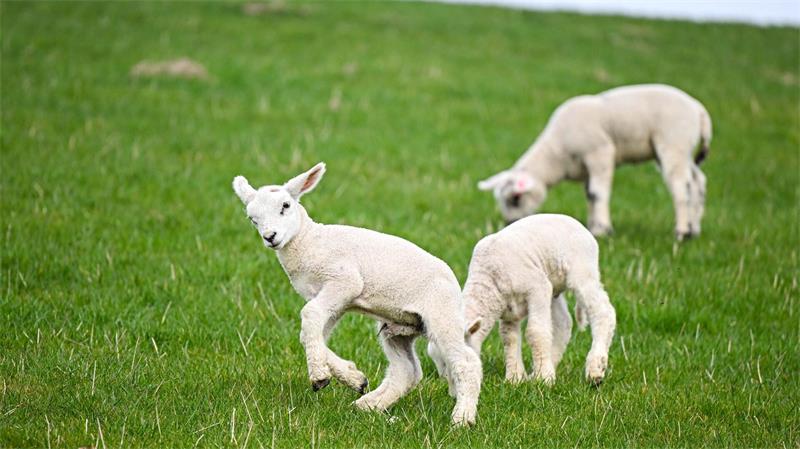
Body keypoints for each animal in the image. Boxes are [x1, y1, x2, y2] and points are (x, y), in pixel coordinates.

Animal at [231, 162, 482, 426]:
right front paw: (353, 378)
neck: (309, 242)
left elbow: (309, 314)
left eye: (286, 205)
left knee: (466, 362)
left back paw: (462, 418)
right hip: (398, 328)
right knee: (407, 371)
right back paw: (367, 405)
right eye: (252, 219)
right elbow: (309, 333)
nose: (270, 237)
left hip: (442, 314)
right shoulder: (333, 300)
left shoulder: (345, 281)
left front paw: (319, 376)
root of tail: (455, 285)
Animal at [427, 214, 616, 387]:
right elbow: (509, 339)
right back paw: (547, 366)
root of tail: (580, 225)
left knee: (603, 312)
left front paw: (543, 378)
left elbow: (535, 332)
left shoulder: (537, 288)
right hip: (553, 285)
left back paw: (595, 369)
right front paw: (515, 378)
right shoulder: (508, 310)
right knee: (564, 323)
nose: (446, 383)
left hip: (582, 272)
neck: (489, 280)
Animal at [478, 84, 712, 241]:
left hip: (674, 143)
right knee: (697, 181)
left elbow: (598, 193)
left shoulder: (600, 153)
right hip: (683, 150)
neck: (555, 155)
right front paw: (592, 227)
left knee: (681, 187)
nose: (509, 225)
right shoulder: (585, 169)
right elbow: (590, 195)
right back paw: (694, 228)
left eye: (516, 199)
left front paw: (603, 230)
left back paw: (681, 231)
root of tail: (698, 109)